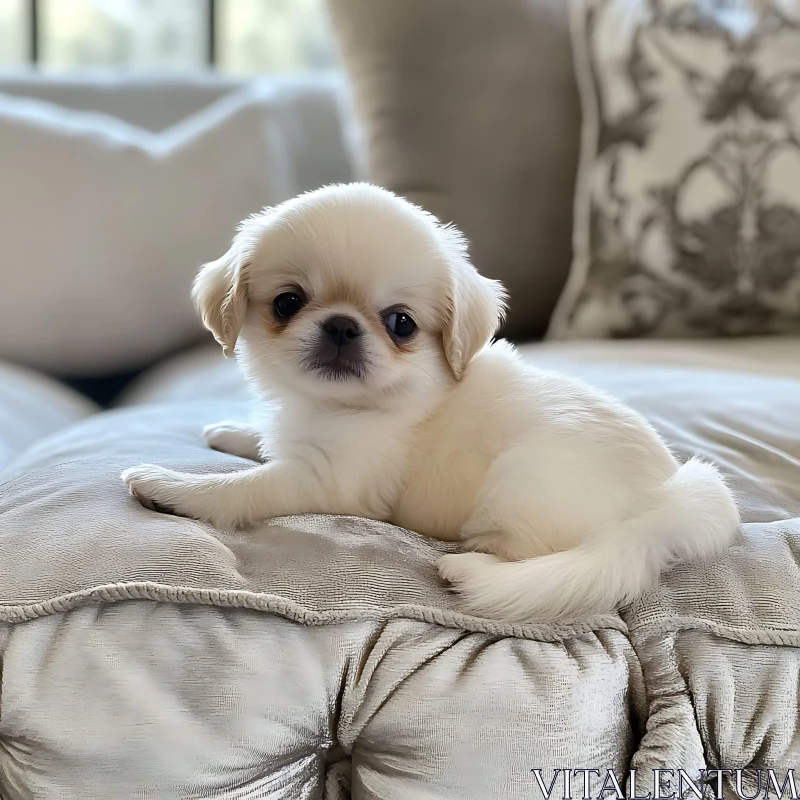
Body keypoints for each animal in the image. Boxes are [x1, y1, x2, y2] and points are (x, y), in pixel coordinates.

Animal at [122, 184, 740, 620]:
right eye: (286, 303)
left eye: (401, 324)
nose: (341, 326)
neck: (342, 406)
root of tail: (669, 503)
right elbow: (264, 442)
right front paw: (229, 431)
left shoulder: (328, 481)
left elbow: (239, 491)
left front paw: (168, 486)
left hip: (521, 481)